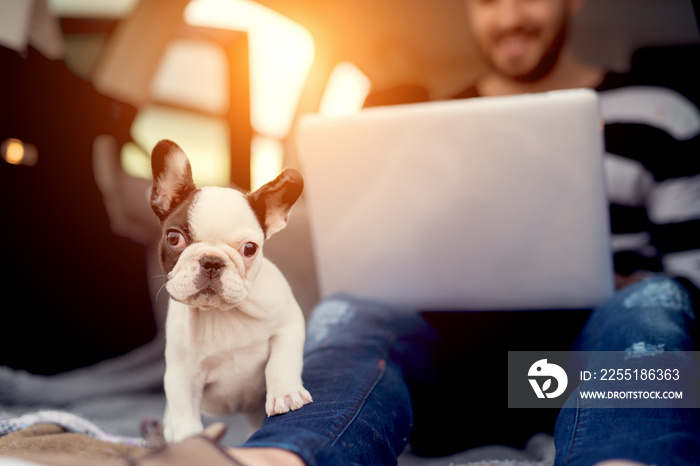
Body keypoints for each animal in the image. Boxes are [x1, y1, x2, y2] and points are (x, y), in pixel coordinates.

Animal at [150, 140, 312, 442]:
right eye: (174, 238)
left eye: (249, 248)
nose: (212, 261)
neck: (221, 314)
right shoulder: (181, 376)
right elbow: (183, 412)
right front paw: (190, 442)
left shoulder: (288, 325)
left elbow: (281, 361)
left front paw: (285, 394)